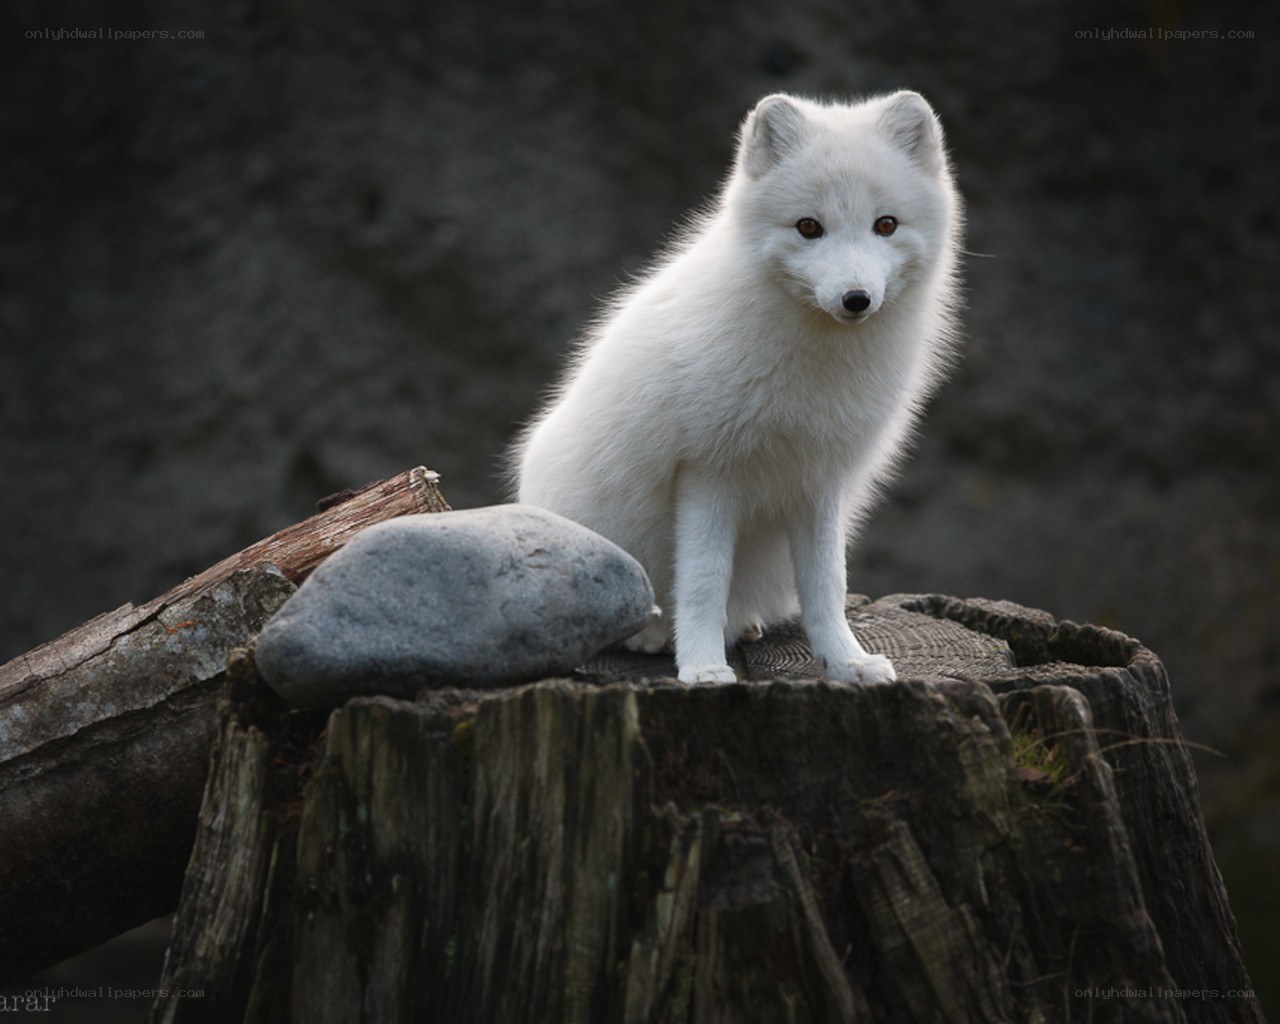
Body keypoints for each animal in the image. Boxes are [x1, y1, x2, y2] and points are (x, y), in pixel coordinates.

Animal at [514, 90, 963, 685]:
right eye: (808, 227)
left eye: (885, 224)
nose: (856, 299)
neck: (813, 366)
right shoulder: (707, 472)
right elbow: (704, 581)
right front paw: (702, 667)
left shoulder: (819, 479)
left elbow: (828, 584)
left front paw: (846, 663)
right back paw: (657, 633)